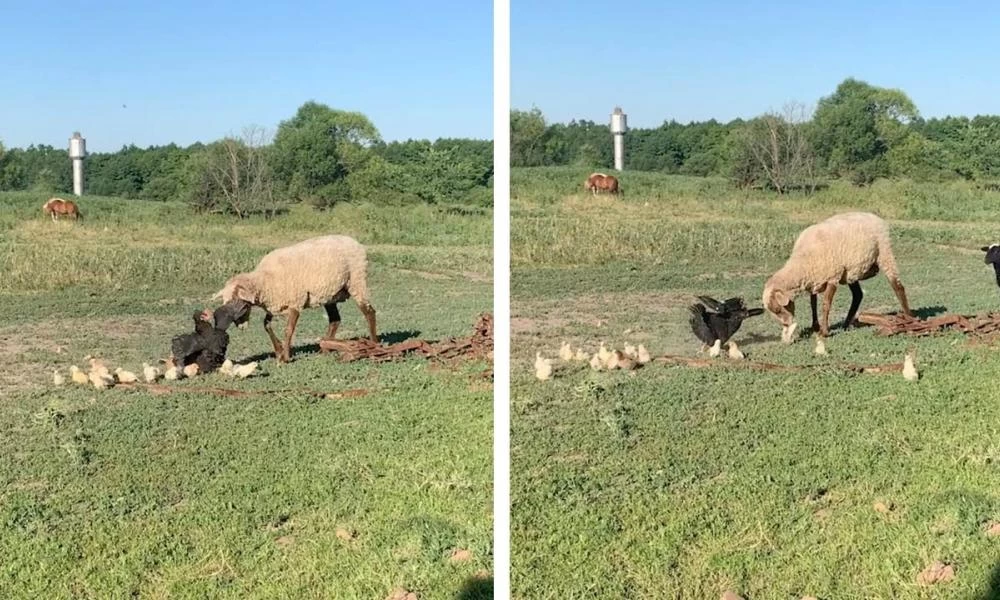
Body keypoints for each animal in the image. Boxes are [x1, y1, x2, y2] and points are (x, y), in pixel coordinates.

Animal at [213, 236, 376, 364]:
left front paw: (284, 357)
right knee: (335, 320)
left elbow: (288, 330)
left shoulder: (295, 303)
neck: (265, 280)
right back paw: (325, 349)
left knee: (369, 312)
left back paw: (374, 343)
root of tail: (356, 242)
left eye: (241, 305)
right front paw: (278, 350)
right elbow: (266, 325)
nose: (241, 327)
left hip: (356, 280)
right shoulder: (275, 304)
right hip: (330, 294)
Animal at [760, 212, 912, 342]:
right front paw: (815, 326)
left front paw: (824, 332)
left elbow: (826, 304)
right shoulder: (814, 280)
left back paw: (909, 319)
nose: (786, 324)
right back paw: (846, 324)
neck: (802, 263)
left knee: (898, 287)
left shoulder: (832, 277)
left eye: (778, 309)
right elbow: (813, 304)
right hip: (851, 272)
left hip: (884, 252)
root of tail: (876, 217)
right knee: (858, 295)